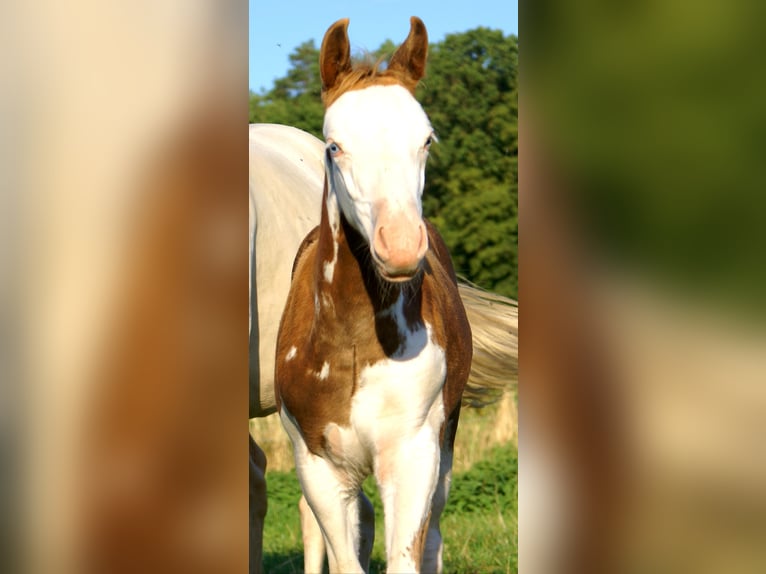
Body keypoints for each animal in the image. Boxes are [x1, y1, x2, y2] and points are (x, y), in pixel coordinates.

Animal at [248, 21, 518, 574]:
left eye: (427, 140)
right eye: (334, 145)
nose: (400, 245)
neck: (354, 341)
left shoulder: (413, 456)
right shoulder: (319, 468)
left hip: (445, 444)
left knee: (433, 534)